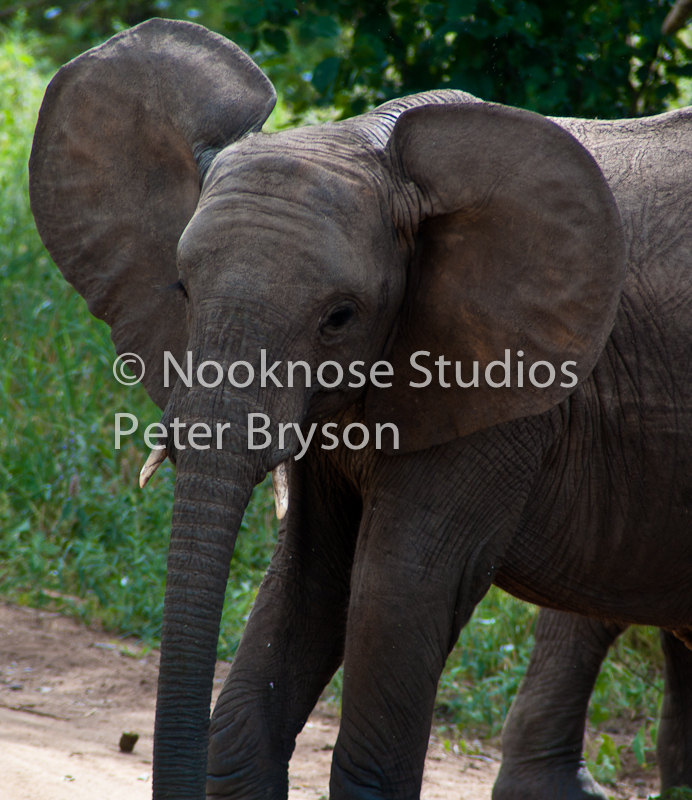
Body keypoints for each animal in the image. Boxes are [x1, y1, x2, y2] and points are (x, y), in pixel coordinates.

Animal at [28, 17, 692, 800]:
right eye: (183, 290)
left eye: (339, 318)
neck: (369, 147)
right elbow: (308, 582)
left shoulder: (509, 394)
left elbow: (394, 595)